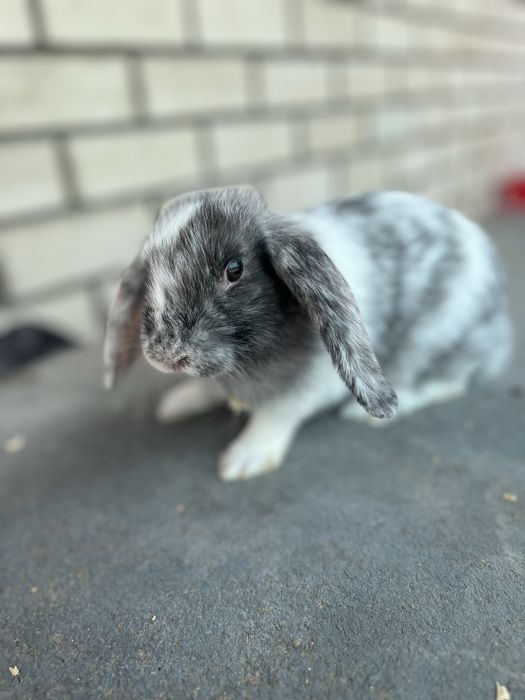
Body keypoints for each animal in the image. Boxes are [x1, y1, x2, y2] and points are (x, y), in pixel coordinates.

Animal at [104, 185, 512, 481]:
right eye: (150, 272)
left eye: (234, 269)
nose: (167, 357)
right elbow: (207, 388)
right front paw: (178, 402)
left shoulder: (312, 384)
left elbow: (277, 412)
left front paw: (244, 459)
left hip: (436, 340)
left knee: (450, 382)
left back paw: (363, 415)